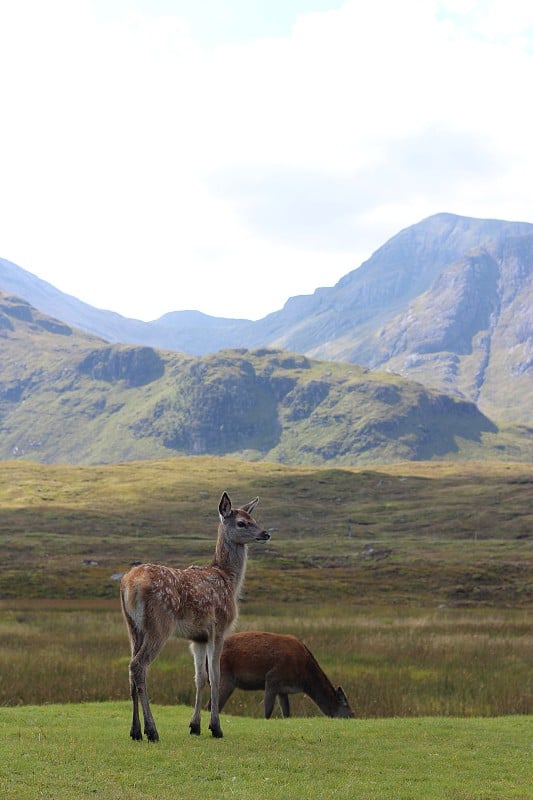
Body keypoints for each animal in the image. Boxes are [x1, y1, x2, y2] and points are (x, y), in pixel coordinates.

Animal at [121, 490, 270, 740]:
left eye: (254, 519)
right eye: (242, 522)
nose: (265, 533)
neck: (229, 580)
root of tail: (129, 585)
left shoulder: (197, 637)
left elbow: (199, 678)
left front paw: (195, 725)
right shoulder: (218, 627)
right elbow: (215, 676)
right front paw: (216, 727)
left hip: (133, 627)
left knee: (131, 667)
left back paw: (135, 731)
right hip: (159, 623)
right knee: (139, 666)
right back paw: (152, 730)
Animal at [211, 632, 354, 720]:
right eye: (347, 707)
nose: (353, 716)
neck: (304, 679)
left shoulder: (283, 689)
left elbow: (287, 713)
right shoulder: (272, 678)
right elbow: (268, 711)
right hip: (226, 677)